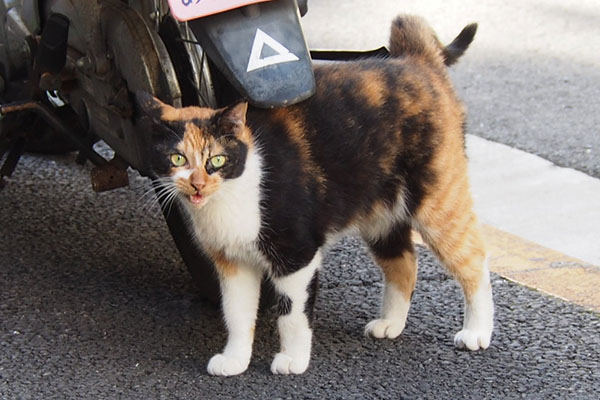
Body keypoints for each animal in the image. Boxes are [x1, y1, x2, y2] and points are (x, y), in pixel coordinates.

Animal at [135, 13, 492, 376]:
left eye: (216, 160)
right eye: (177, 159)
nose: (197, 184)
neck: (235, 191)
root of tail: (415, 60)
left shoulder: (296, 255)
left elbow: (292, 314)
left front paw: (293, 359)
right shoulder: (233, 264)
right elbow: (236, 315)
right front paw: (235, 359)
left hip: (437, 202)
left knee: (474, 259)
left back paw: (477, 332)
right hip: (380, 214)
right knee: (404, 262)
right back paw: (390, 324)